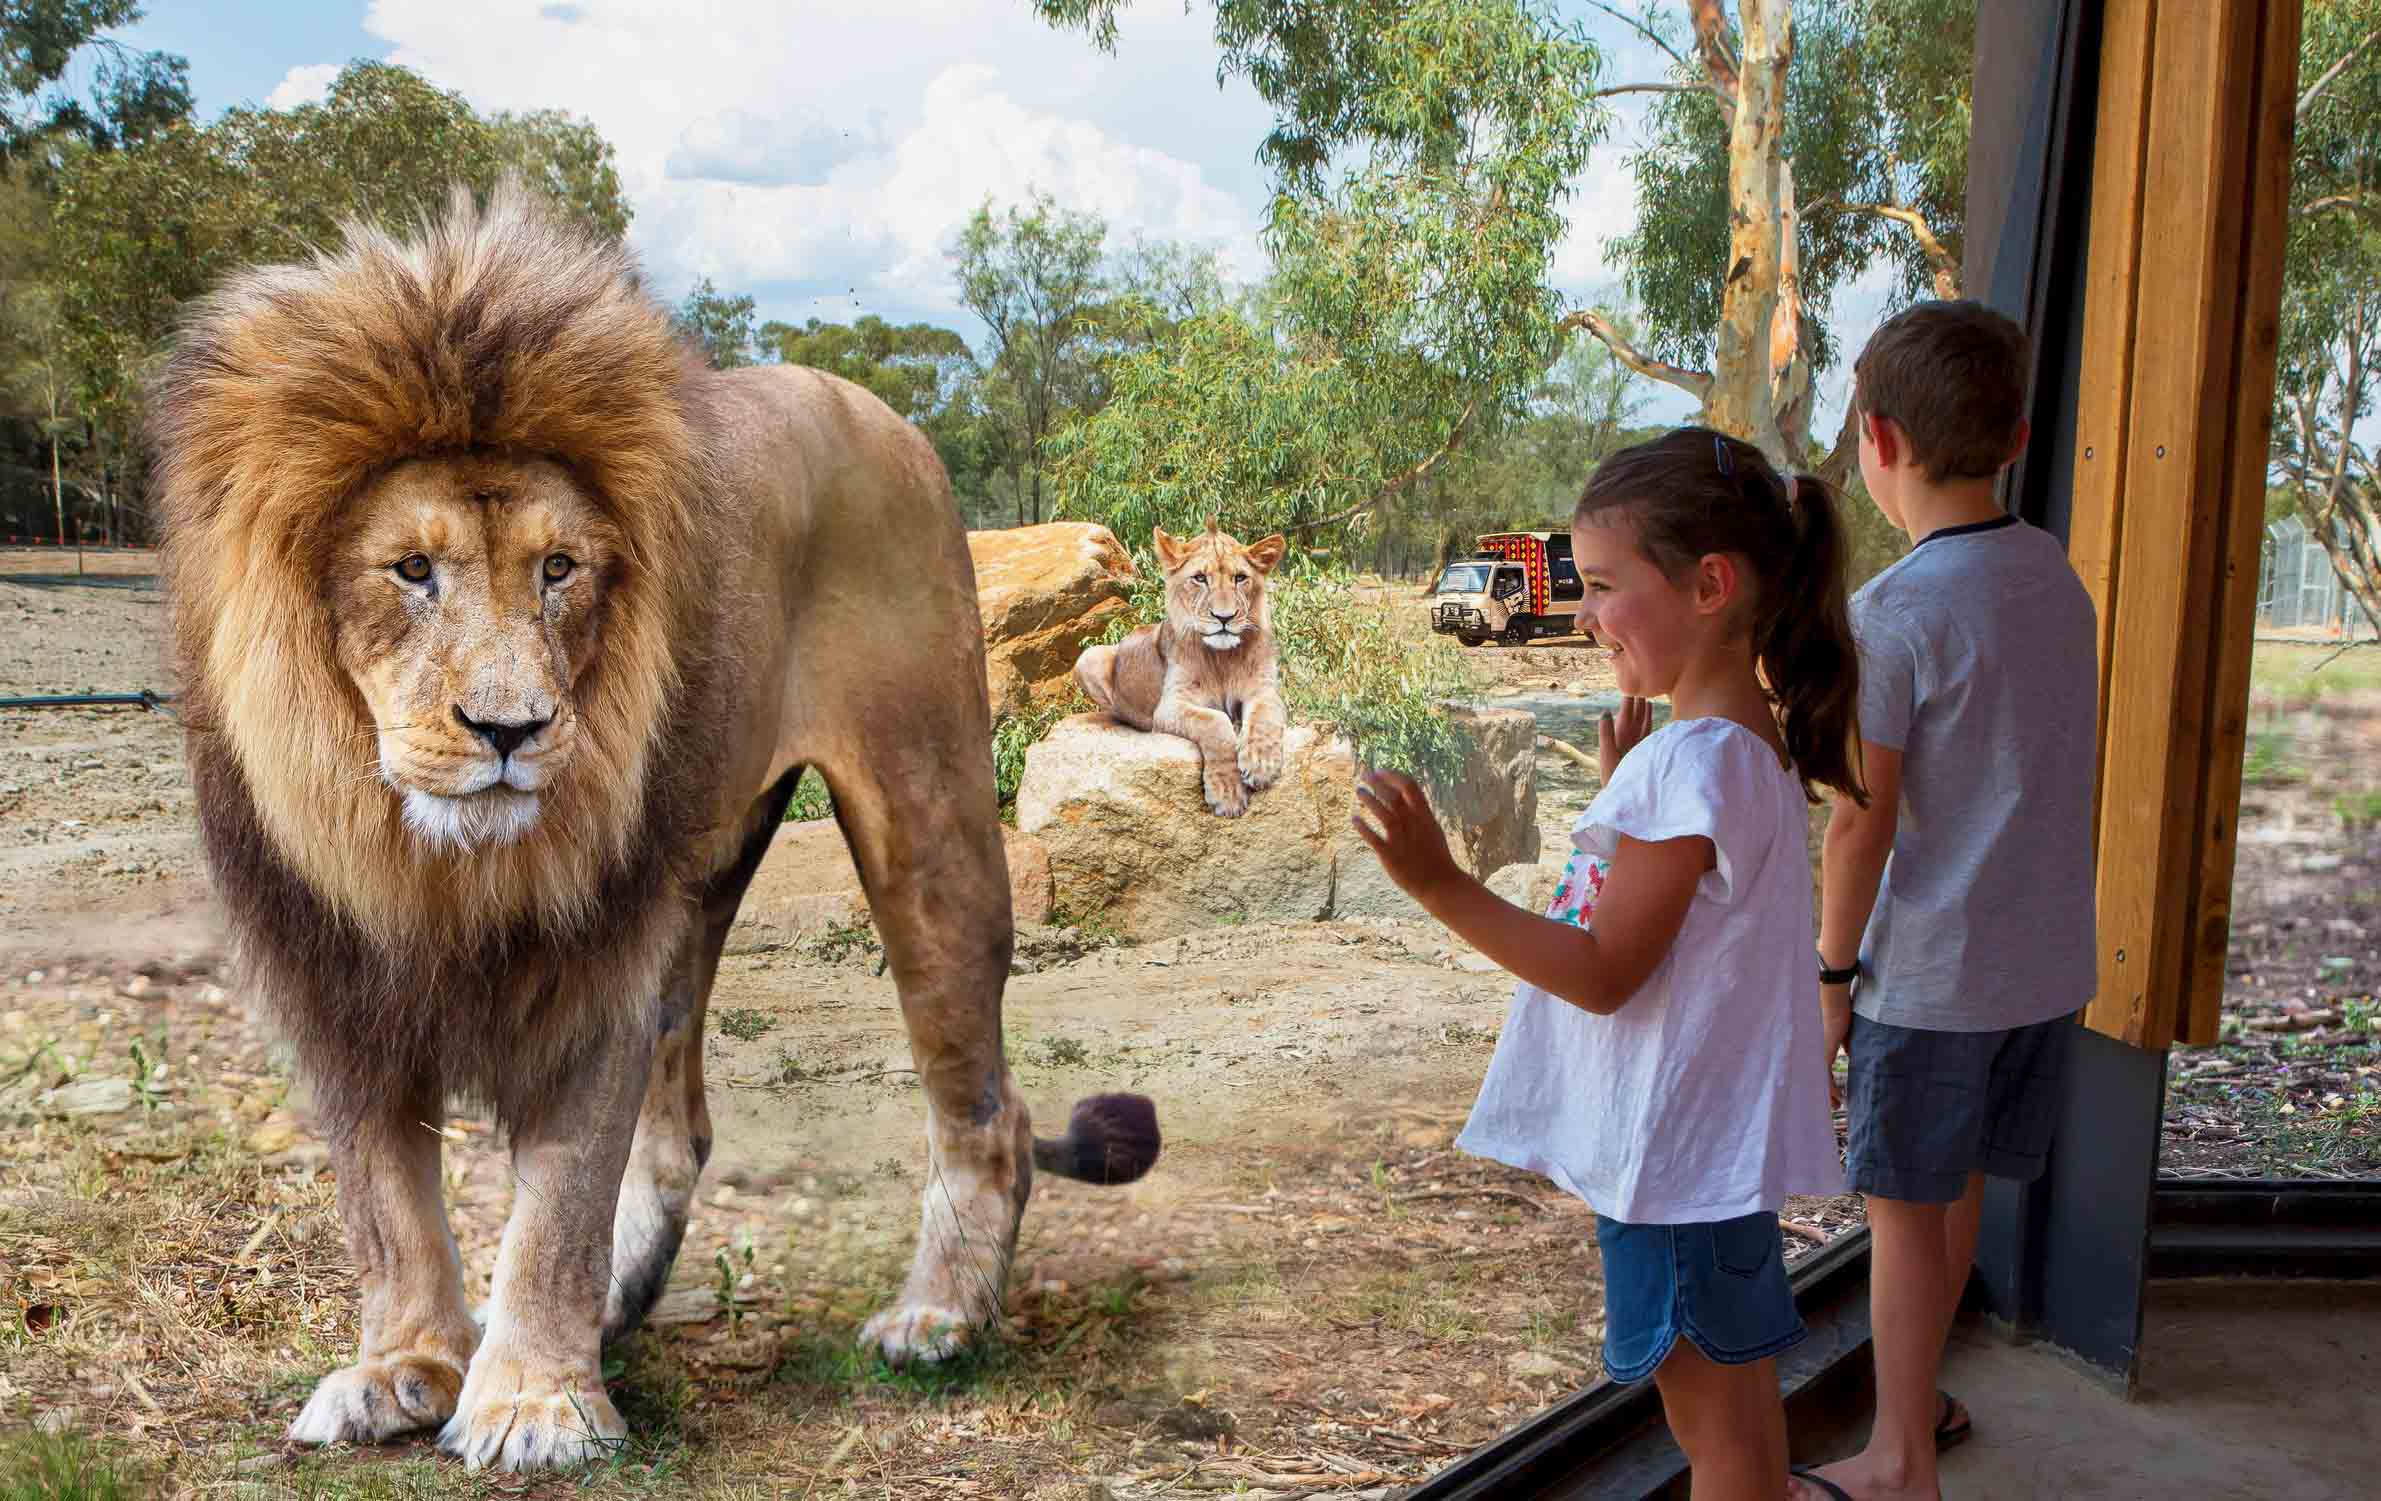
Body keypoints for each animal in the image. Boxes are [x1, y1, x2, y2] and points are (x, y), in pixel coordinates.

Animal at [141, 182, 1161, 1477]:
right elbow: (384, 1200)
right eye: (411, 569)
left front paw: (531, 1400)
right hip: (701, 872)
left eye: (559, 568)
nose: (512, 729)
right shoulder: (334, 970)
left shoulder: (594, 960)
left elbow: (562, 1192)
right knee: (678, 1123)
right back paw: (621, 1300)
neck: (424, 856)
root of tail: (876, 408)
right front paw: (405, 1367)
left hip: (924, 817)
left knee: (986, 1105)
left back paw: (938, 1316)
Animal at [1076, 519, 1285, 824]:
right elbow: (1215, 723)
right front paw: (1227, 794)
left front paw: (1260, 765)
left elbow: (1264, 715)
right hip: (1088, 655)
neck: (1222, 659)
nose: (1224, 617)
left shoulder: (1265, 689)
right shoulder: (1170, 706)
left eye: (1239, 578)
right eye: (1199, 578)